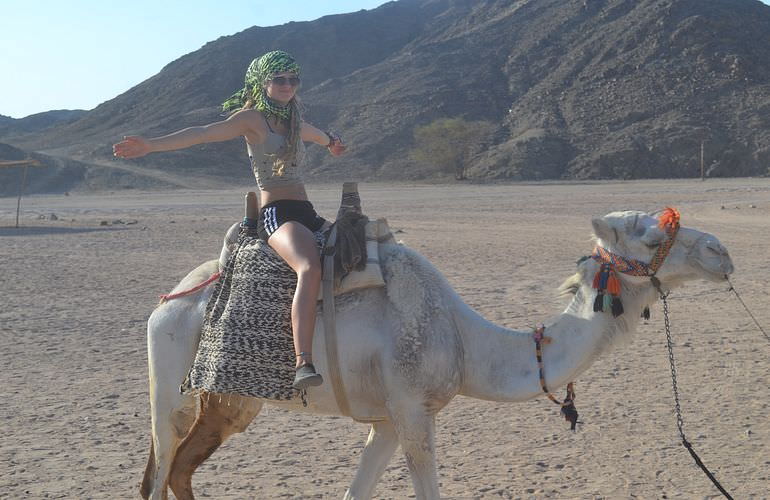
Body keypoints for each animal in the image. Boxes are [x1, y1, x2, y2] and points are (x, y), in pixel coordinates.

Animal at [138, 209, 732, 498]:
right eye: (652, 236)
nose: (721, 252)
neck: (467, 343)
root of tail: (172, 297)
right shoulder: (412, 410)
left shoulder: (387, 420)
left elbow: (355, 493)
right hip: (169, 377)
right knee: (160, 471)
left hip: (230, 401)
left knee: (178, 471)